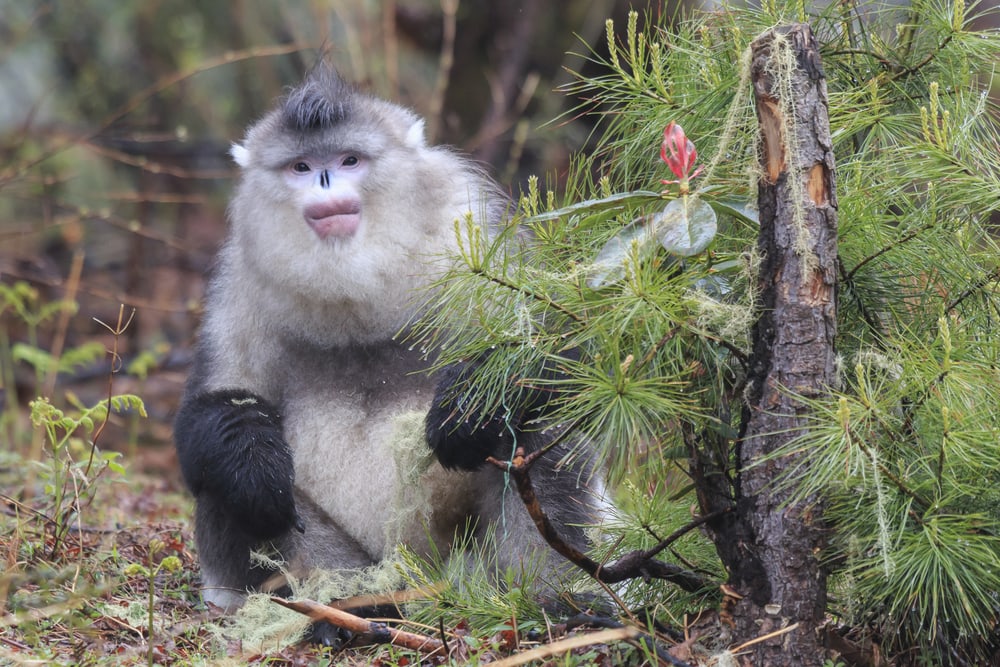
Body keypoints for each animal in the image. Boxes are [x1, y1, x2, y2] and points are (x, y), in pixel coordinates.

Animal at [173, 64, 609, 619]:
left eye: (349, 160)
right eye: (301, 166)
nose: (325, 180)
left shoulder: (474, 221)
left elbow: (567, 348)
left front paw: (469, 404)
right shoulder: (240, 273)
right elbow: (211, 410)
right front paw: (250, 463)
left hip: (469, 563)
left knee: (540, 423)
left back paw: (554, 598)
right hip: (354, 567)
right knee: (221, 478)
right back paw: (337, 613)